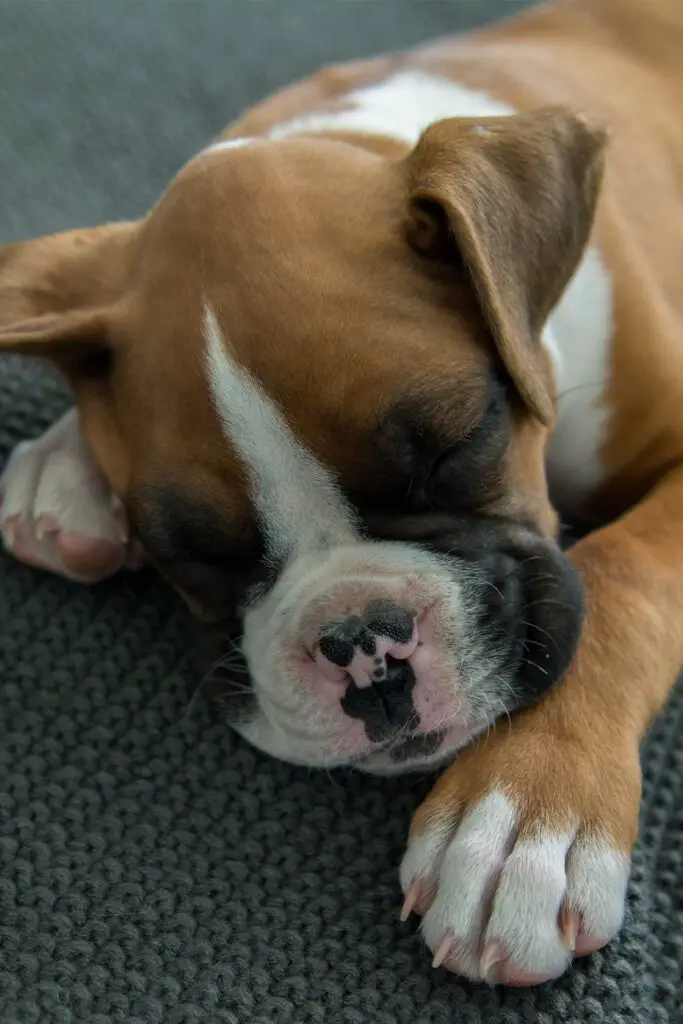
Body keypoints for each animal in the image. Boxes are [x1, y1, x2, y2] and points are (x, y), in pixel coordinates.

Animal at [1, 0, 683, 991]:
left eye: (459, 442)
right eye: (195, 556)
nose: (363, 646)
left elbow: (622, 578)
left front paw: (521, 816)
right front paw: (69, 458)